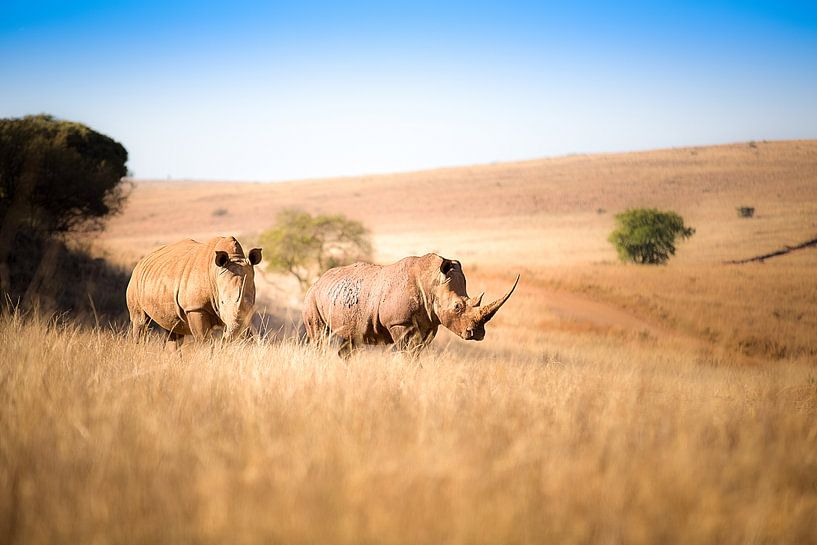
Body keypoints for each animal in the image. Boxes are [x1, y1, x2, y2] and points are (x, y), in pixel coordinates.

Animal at [125, 235, 262, 344]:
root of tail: (141, 262)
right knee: (140, 322)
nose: (228, 337)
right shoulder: (195, 307)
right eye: (222, 302)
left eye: (252, 304)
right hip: (135, 282)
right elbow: (204, 340)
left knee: (173, 329)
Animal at [300, 252, 516, 356]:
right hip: (312, 299)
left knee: (351, 341)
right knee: (319, 338)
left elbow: (416, 353)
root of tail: (317, 281)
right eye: (457, 307)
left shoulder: (429, 323)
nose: (478, 334)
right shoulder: (399, 323)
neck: (432, 283)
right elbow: (408, 353)